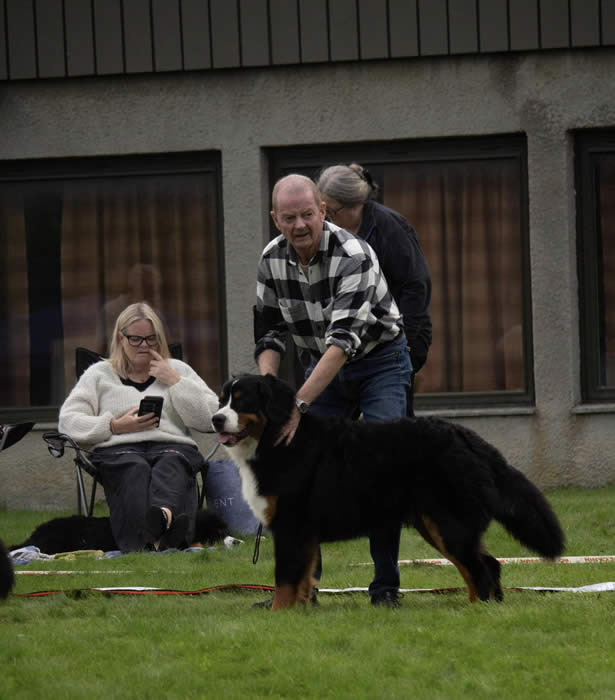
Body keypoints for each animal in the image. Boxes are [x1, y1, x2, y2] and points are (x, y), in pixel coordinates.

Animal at [213, 374, 568, 608]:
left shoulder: (291, 526)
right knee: (487, 564)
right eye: (222, 399)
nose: (216, 419)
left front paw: (280, 615)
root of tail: (467, 436)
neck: (275, 441)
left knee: (478, 568)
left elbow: (285, 581)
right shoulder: (304, 535)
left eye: (242, 399)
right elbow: (303, 580)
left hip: (447, 523)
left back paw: (476, 611)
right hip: (437, 524)